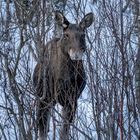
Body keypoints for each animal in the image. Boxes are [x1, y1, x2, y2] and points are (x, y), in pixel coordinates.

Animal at [32, 11, 94, 139]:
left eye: (83, 35)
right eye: (66, 35)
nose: (76, 54)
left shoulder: (72, 100)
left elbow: (64, 131)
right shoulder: (43, 98)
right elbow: (42, 131)